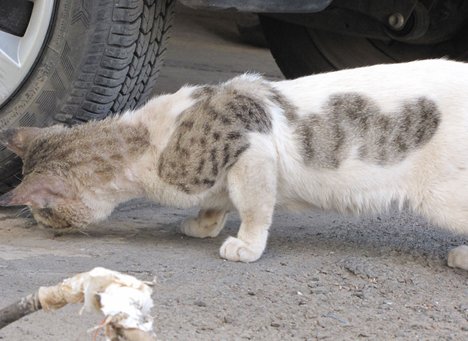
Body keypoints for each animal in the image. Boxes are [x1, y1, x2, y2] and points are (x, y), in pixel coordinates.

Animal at [0, 59, 466, 270]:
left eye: (43, 213)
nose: (42, 227)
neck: (149, 140)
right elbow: (213, 203)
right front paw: (201, 225)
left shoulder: (253, 149)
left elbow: (254, 208)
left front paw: (245, 245)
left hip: (445, 198)